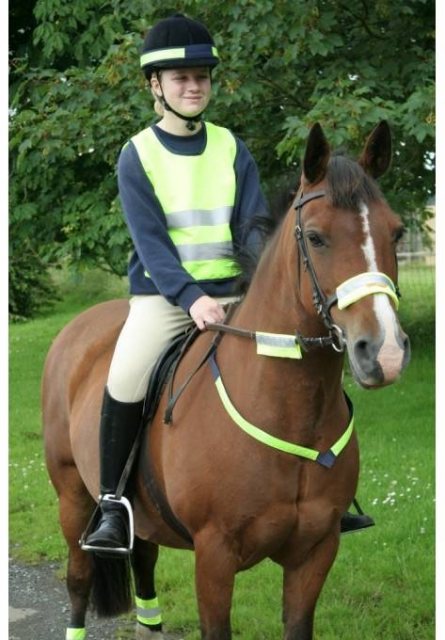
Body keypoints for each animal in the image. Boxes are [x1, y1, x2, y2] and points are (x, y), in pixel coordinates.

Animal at [41, 121, 410, 640]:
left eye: (396, 232)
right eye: (317, 238)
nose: (385, 353)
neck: (288, 408)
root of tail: (78, 328)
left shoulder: (315, 553)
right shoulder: (214, 557)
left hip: (142, 515)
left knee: (145, 564)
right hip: (72, 497)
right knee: (78, 581)